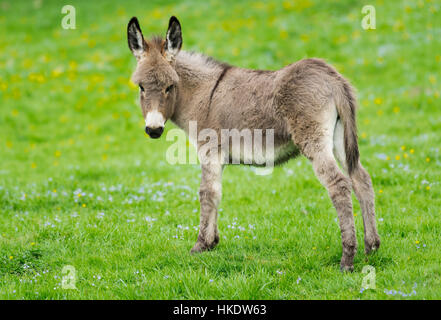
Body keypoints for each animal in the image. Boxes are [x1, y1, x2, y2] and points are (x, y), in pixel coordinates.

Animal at [125, 15, 380, 270]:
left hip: (314, 141)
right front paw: (212, 242)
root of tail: (332, 77)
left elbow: (207, 192)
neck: (202, 95)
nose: (154, 130)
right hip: (339, 137)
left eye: (170, 86)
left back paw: (347, 259)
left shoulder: (209, 150)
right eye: (141, 87)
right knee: (361, 178)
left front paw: (200, 245)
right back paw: (371, 247)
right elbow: (217, 192)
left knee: (339, 184)